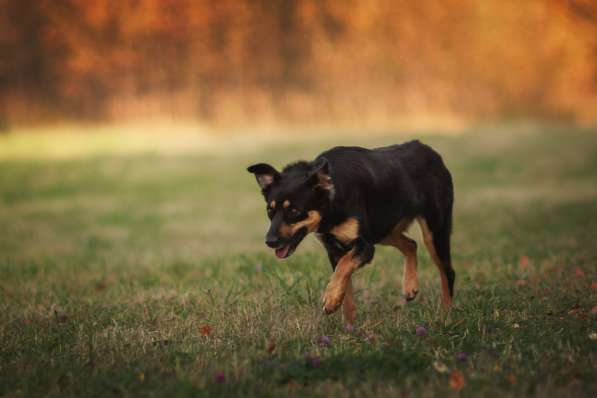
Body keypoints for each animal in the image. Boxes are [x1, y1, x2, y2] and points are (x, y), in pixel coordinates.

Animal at [246, 141, 452, 326]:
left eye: (295, 211)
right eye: (270, 210)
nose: (270, 241)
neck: (332, 200)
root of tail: (428, 150)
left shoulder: (365, 246)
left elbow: (343, 268)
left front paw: (330, 299)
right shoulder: (334, 249)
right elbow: (345, 285)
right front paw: (348, 325)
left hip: (434, 231)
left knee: (448, 272)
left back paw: (445, 317)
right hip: (384, 229)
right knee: (411, 244)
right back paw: (410, 286)